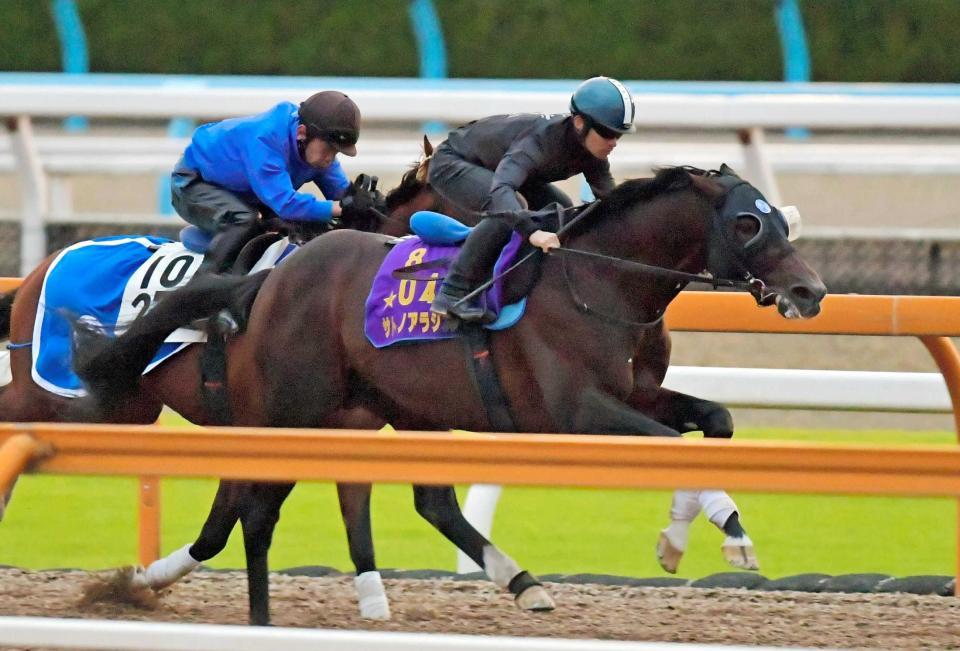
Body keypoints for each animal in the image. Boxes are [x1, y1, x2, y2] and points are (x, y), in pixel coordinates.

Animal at [73, 166, 824, 624]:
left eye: (781, 220)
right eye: (748, 224)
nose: (811, 290)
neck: (599, 282)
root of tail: (271, 278)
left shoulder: (636, 394)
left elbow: (714, 424)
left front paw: (677, 539)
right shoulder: (578, 413)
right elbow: (675, 446)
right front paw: (732, 537)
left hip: (399, 408)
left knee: (425, 501)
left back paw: (523, 583)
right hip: (295, 409)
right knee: (256, 515)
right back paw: (256, 619)